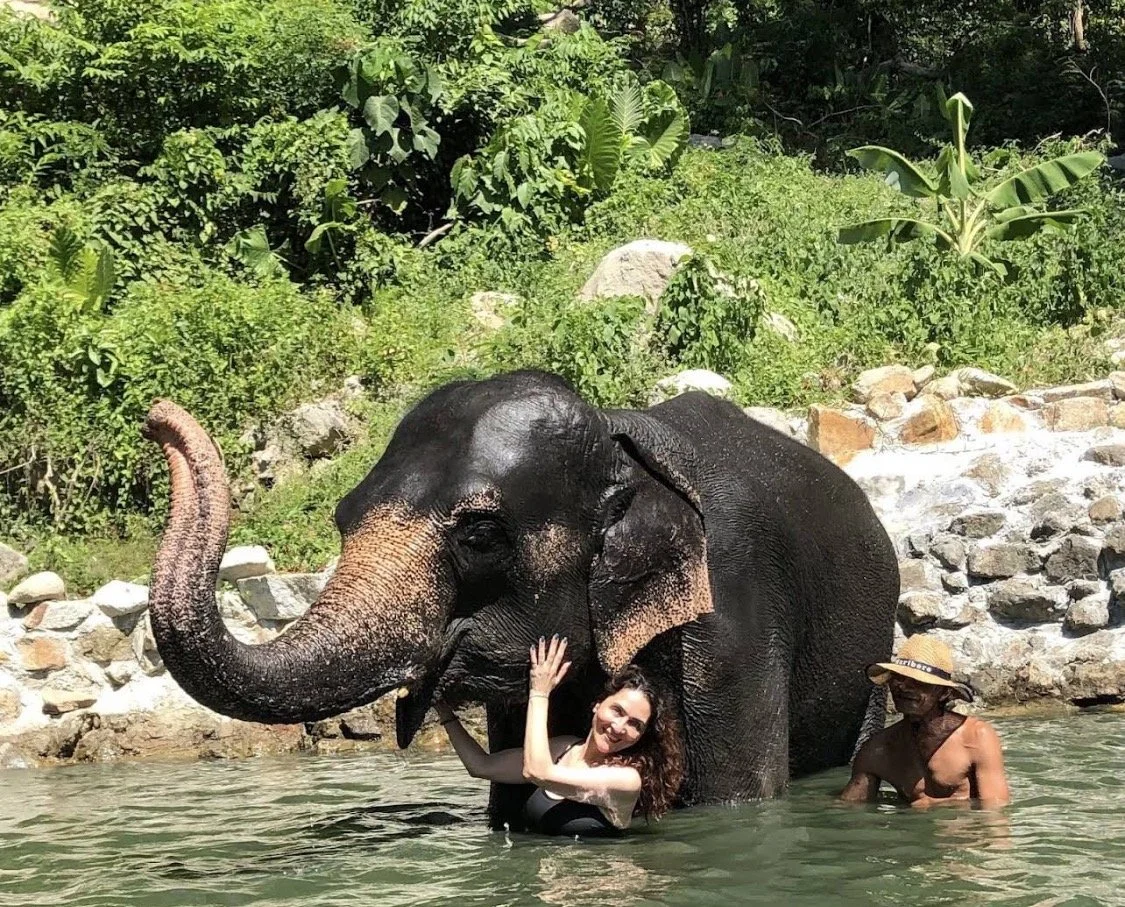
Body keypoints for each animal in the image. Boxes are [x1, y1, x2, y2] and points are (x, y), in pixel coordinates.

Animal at [144, 369, 898, 828]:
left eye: (479, 535)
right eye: (341, 515)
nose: (154, 417)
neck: (621, 445)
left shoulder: (731, 618)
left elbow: (734, 798)